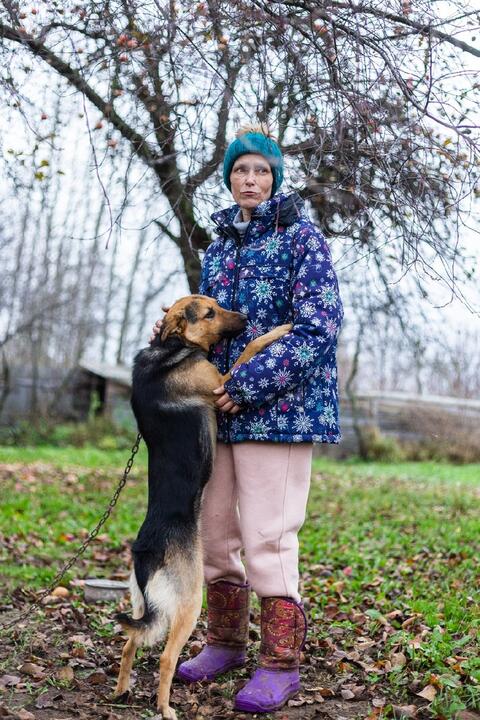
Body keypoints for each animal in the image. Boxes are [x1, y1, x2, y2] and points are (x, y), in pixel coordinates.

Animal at [115, 294, 292, 720]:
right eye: (210, 312)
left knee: (130, 642)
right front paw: (278, 331)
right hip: (189, 601)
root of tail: (146, 555)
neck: (172, 344)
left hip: (144, 604)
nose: (244, 315)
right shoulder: (222, 385)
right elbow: (251, 348)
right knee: (165, 658)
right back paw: (165, 708)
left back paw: (121, 691)